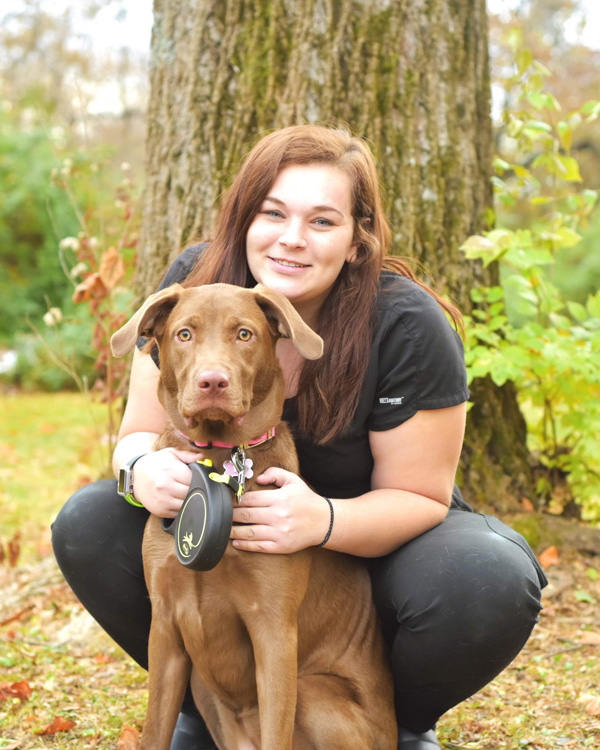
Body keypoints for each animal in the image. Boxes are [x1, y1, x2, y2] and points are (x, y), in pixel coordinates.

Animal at [111, 284, 398, 750]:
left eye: (244, 334)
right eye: (185, 334)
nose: (212, 381)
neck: (216, 459)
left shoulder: (274, 629)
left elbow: (276, 728)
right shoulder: (166, 627)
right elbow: (154, 729)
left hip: (314, 693)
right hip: (204, 690)